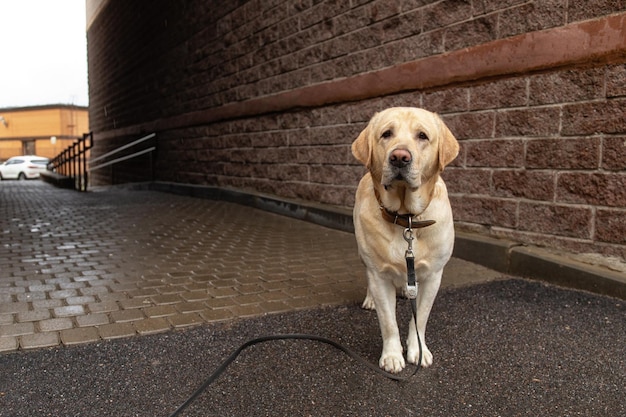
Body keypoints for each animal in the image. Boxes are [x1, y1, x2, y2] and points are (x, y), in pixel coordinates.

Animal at [352, 107, 458, 374]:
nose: (400, 157)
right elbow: (388, 321)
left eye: (422, 136)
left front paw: (417, 351)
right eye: (386, 134)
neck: (406, 218)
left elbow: (420, 318)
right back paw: (370, 299)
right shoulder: (379, 276)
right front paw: (392, 356)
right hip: (363, 253)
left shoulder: (433, 276)